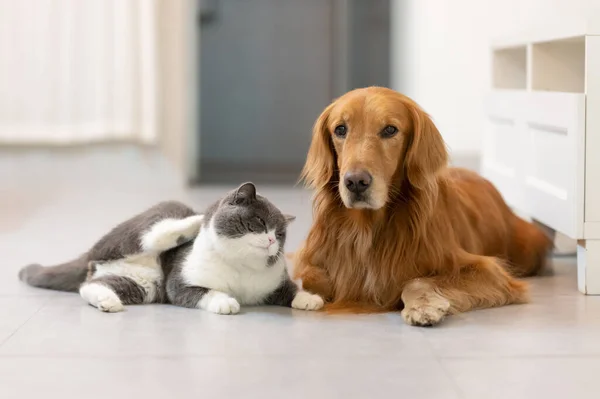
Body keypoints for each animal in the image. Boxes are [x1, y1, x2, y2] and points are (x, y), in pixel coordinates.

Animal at [18, 182, 324, 316]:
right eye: (259, 223)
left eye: (281, 234)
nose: (272, 241)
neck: (241, 269)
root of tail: (93, 253)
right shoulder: (180, 282)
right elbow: (202, 291)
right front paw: (225, 302)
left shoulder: (274, 283)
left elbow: (290, 289)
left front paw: (309, 299)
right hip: (140, 231)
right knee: (155, 233)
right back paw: (193, 221)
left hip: (144, 286)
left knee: (90, 285)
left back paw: (108, 301)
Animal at [292, 86, 552, 326]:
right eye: (340, 129)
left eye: (390, 129)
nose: (356, 182)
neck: (368, 228)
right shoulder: (312, 260)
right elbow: (311, 278)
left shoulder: (487, 270)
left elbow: (416, 280)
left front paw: (423, 306)